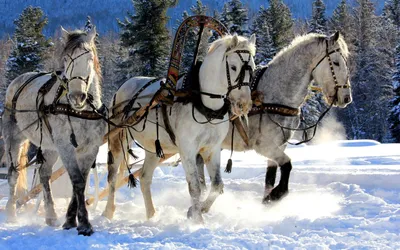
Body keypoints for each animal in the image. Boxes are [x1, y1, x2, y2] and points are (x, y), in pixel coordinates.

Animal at [3, 27, 103, 236]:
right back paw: (11, 212)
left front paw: (70, 220)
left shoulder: (90, 148)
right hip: (13, 139)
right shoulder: (65, 146)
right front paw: (83, 223)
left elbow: (81, 181)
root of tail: (17, 81)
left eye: (89, 57)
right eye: (66, 58)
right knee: (13, 174)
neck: (80, 111)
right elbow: (77, 180)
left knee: (44, 174)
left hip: (49, 146)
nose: (77, 96)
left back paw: (50, 215)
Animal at [104, 33, 256, 223]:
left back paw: (151, 214)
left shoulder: (212, 149)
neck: (203, 104)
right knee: (112, 177)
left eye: (252, 68)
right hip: (119, 139)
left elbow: (217, 185)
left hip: (154, 148)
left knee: (145, 178)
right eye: (234, 67)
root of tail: (123, 87)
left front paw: (199, 209)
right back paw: (108, 213)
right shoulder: (187, 150)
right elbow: (195, 187)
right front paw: (197, 220)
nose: (244, 104)